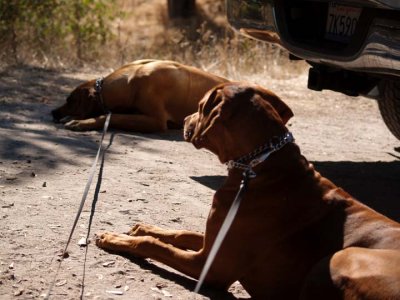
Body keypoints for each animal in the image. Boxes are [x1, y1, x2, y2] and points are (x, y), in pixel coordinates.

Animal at [51, 58, 228, 132]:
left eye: (70, 101)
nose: (52, 112)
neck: (132, 80)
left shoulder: (157, 121)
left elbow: (112, 116)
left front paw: (81, 122)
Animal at [97, 82, 400, 300]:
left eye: (199, 106)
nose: (183, 120)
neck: (260, 166)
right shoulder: (214, 237)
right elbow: (179, 233)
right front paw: (142, 228)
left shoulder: (210, 266)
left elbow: (152, 245)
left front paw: (115, 238)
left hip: (342, 257)